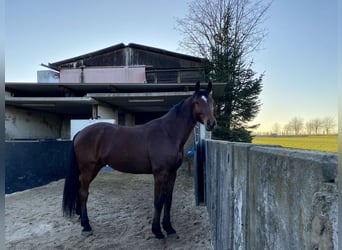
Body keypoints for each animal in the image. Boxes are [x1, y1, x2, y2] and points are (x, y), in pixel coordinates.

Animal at [62, 81, 215, 239]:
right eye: (197, 102)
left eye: (212, 102)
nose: (211, 123)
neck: (168, 133)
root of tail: (81, 132)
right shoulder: (160, 174)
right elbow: (158, 201)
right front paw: (157, 231)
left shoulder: (172, 173)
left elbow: (168, 200)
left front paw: (169, 229)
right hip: (88, 169)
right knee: (84, 194)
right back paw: (86, 226)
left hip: (94, 169)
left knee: (81, 191)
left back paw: (82, 220)